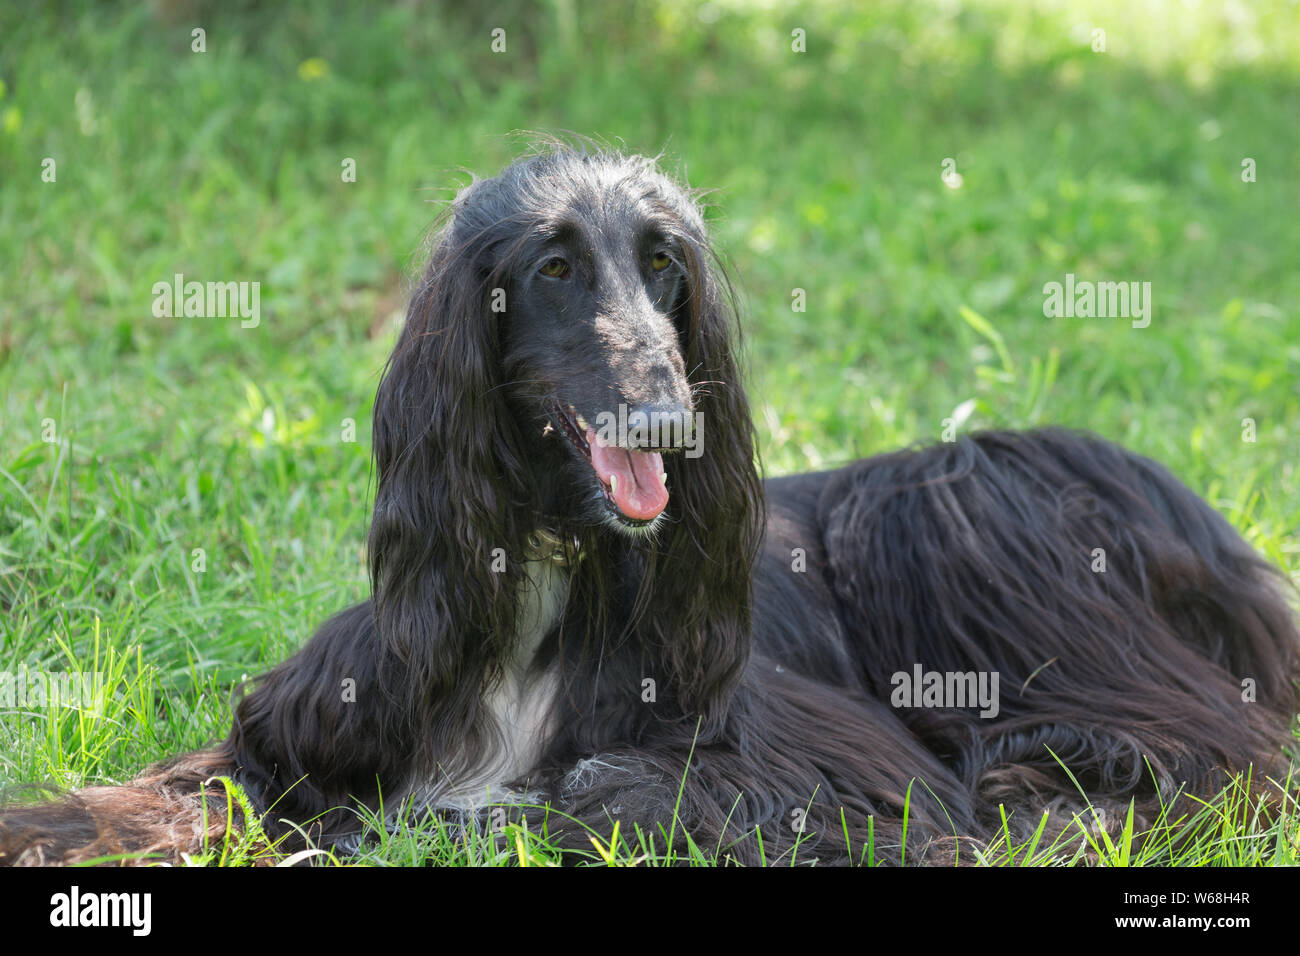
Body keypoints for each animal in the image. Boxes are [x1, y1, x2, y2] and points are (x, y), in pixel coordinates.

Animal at [5, 147, 1294, 868]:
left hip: (938, 498)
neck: (544, 577)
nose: (673, 419)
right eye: (555, 268)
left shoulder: (832, 760)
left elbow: (584, 792)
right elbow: (184, 785)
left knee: (1231, 761)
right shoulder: (312, 716)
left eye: (664, 262)